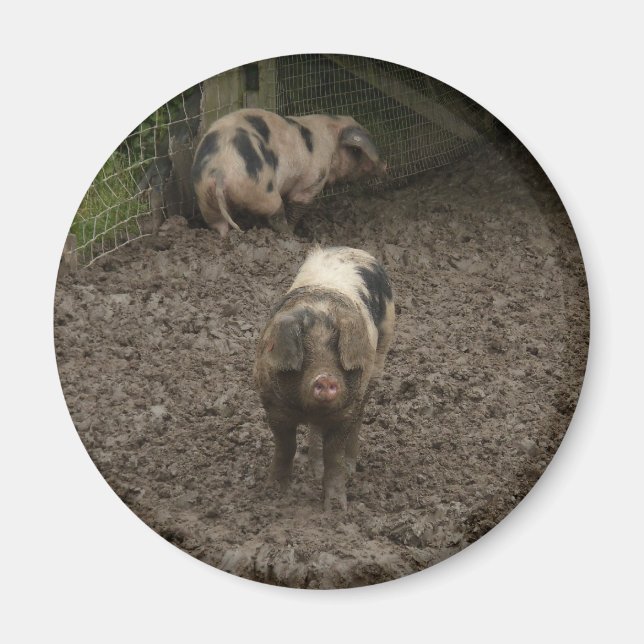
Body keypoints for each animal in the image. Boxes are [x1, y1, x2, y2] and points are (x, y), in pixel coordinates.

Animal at [191, 108, 386, 237]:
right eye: (356, 151)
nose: (386, 166)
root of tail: (219, 170)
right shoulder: (312, 181)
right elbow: (297, 203)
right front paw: (294, 232)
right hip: (261, 189)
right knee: (276, 214)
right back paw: (287, 235)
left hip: (204, 195)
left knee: (218, 223)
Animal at [254, 246, 395, 511]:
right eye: (306, 350)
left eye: (336, 351)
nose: (326, 378)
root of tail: (355, 250)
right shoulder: (272, 405)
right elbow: (285, 447)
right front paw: (272, 494)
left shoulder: (344, 413)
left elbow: (334, 456)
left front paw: (337, 509)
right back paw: (313, 471)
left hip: (379, 359)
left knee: (359, 419)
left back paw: (349, 469)